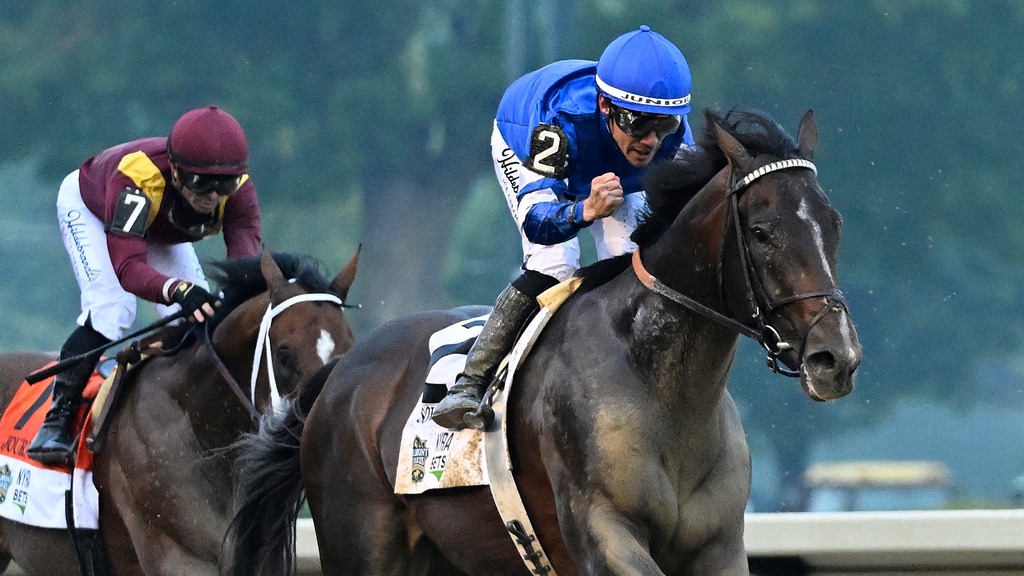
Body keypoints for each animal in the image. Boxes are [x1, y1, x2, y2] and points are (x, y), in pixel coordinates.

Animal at [226, 108, 862, 576]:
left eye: (834, 224)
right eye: (761, 232)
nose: (836, 357)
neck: (664, 389)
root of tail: (343, 372)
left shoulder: (718, 549)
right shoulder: (604, 534)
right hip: (362, 545)